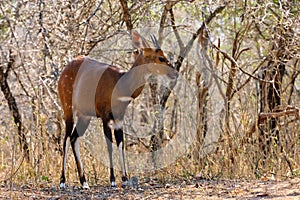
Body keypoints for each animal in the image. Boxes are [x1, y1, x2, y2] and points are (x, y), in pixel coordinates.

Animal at [58, 30, 176, 188]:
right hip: (68, 109)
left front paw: (125, 179)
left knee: (74, 138)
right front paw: (113, 180)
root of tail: (64, 71)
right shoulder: (105, 116)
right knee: (65, 139)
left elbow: (121, 143)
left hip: (85, 115)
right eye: (161, 57)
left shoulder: (119, 118)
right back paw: (62, 182)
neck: (121, 83)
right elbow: (110, 144)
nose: (174, 73)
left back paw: (84, 182)